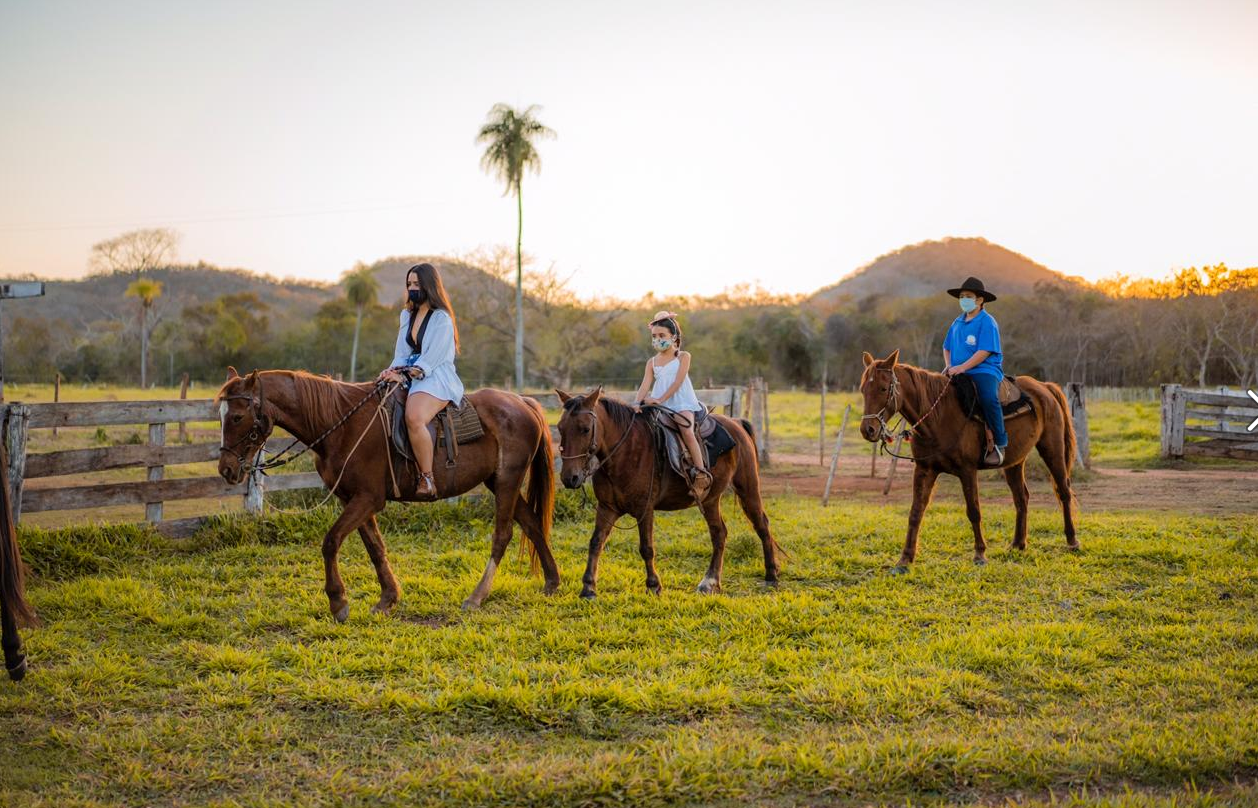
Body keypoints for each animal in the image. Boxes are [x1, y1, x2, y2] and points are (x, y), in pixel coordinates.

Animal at [218, 367, 558, 614]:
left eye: (236, 416)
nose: (226, 469)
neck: (341, 424)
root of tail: (523, 402)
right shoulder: (354, 499)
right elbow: (375, 547)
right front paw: (388, 598)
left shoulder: (368, 499)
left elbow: (331, 542)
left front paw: (338, 602)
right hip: (498, 482)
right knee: (532, 524)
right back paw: (552, 581)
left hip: (507, 481)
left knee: (504, 534)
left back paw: (477, 596)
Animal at [556, 387, 779, 594]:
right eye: (560, 428)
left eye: (585, 429)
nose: (569, 478)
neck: (625, 451)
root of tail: (736, 423)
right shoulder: (607, 508)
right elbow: (596, 542)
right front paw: (588, 587)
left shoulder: (645, 509)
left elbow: (646, 548)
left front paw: (653, 585)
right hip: (710, 499)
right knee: (719, 533)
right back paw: (710, 582)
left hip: (747, 488)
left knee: (761, 525)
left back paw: (771, 576)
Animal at [855, 349, 1081, 568]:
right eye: (863, 389)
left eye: (883, 388)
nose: (868, 430)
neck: (938, 416)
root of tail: (1045, 387)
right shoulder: (925, 469)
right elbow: (915, 512)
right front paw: (904, 559)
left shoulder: (967, 470)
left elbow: (973, 510)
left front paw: (980, 554)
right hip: (1014, 461)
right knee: (1021, 497)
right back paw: (1018, 544)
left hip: (1052, 449)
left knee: (1063, 491)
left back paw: (1072, 541)